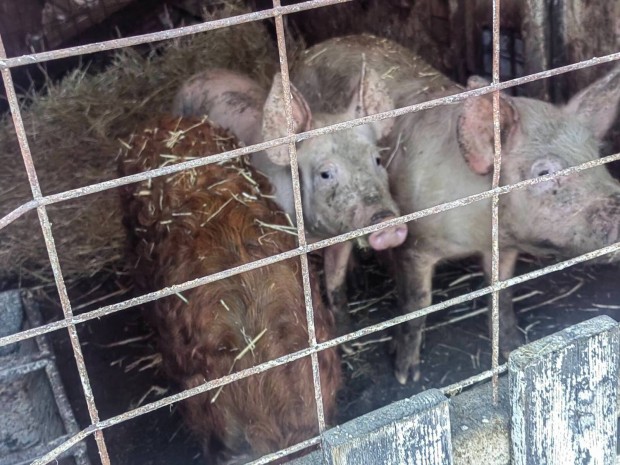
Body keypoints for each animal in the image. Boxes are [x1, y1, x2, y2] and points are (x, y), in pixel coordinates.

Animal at [172, 68, 408, 330]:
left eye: (377, 159)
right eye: (325, 174)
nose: (385, 220)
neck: (317, 235)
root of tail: (201, 73)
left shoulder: (342, 237)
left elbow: (336, 287)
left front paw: (345, 329)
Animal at [291, 34, 620, 384]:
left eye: (598, 156)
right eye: (544, 172)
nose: (617, 209)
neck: (476, 232)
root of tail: (314, 49)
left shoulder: (503, 248)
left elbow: (502, 293)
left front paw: (511, 348)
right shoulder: (416, 245)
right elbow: (418, 303)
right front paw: (406, 375)